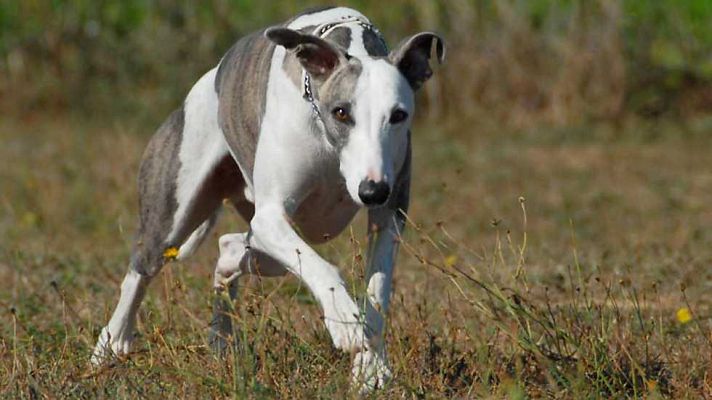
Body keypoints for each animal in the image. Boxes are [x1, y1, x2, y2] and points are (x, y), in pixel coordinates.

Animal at [91, 7, 442, 390]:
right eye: (341, 112)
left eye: (398, 115)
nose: (372, 191)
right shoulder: (271, 216)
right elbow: (325, 267)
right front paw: (346, 322)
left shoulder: (389, 216)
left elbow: (377, 293)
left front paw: (371, 370)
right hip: (172, 212)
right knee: (142, 268)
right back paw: (110, 344)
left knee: (232, 248)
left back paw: (221, 335)